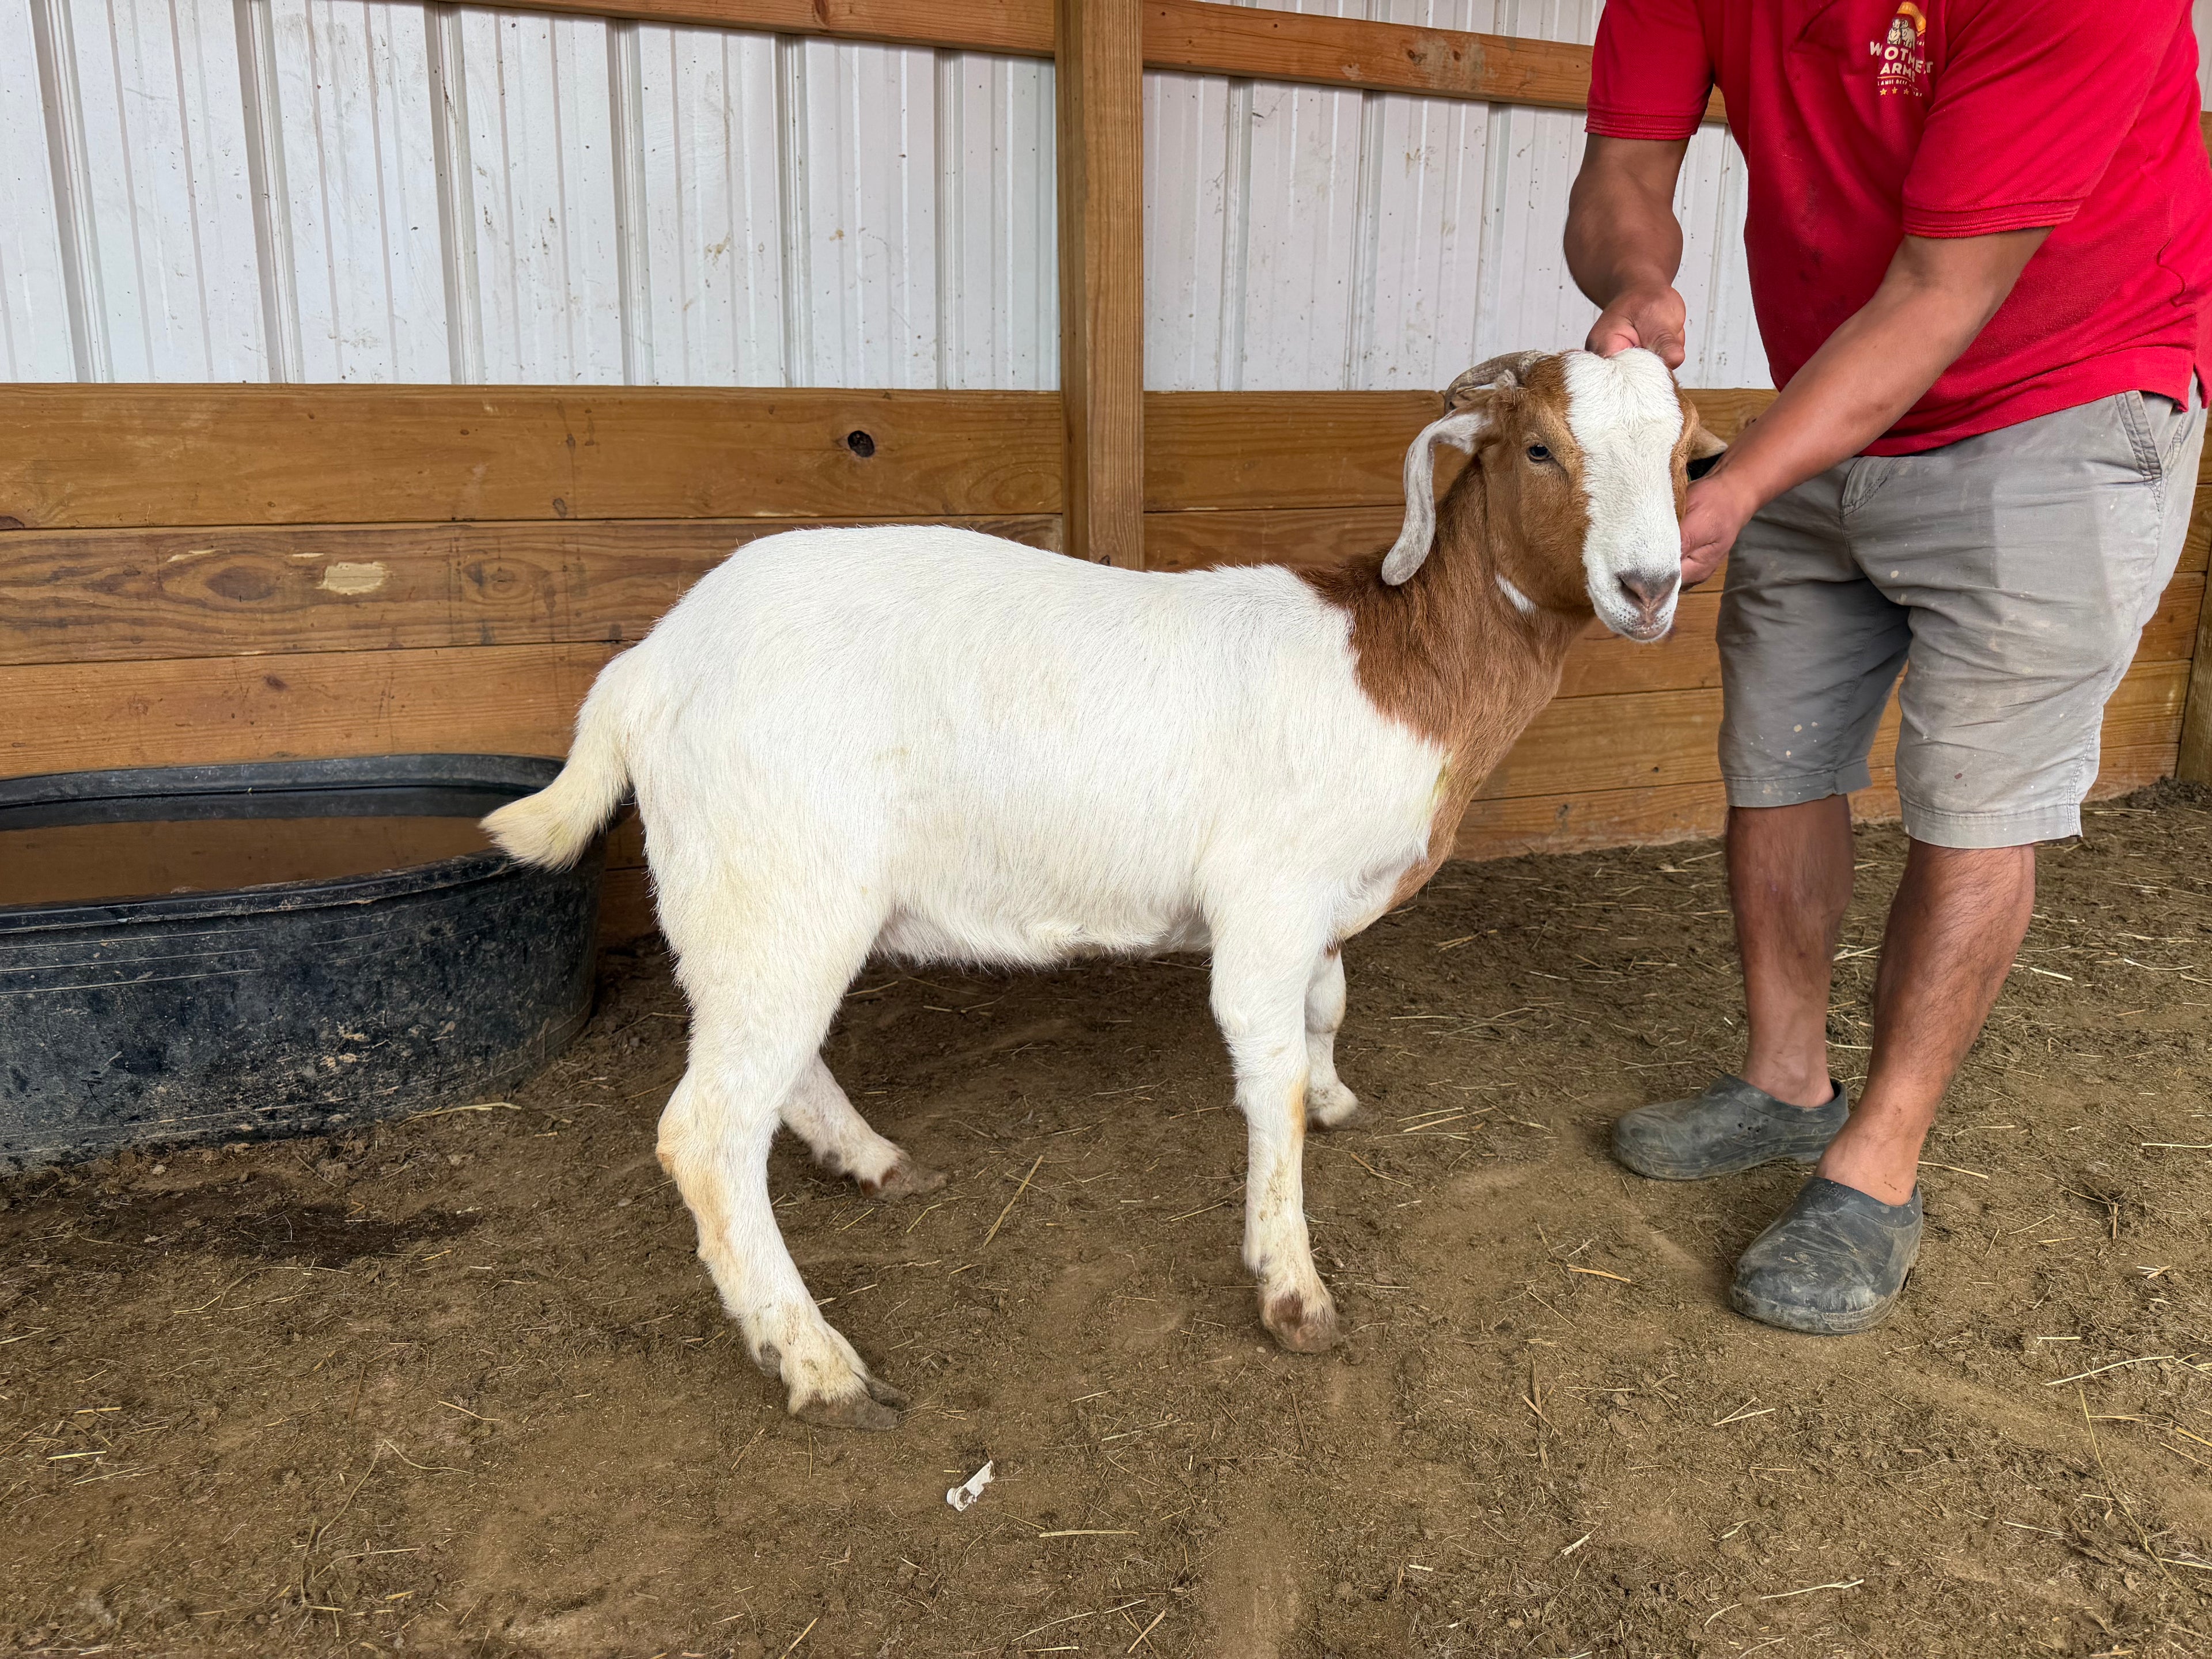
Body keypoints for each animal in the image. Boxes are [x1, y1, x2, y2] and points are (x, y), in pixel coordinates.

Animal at [485, 347, 1724, 1429]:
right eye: (1540, 449)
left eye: (1689, 456)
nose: (1650, 586)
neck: (1395, 662)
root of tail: (646, 669)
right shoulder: (1267, 897)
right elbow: (1268, 1076)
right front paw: (1292, 1287)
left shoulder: (1323, 905)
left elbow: (1328, 1010)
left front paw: (1337, 1097)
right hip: (777, 880)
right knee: (707, 1132)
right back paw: (818, 1364)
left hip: (746, 900)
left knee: (768, 1071)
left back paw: (871, 1160)